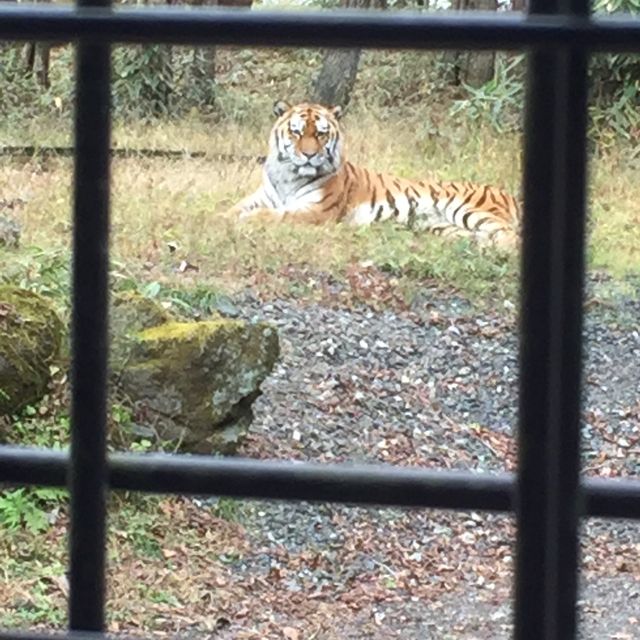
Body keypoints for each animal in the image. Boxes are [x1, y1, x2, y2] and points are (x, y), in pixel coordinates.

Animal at [224, 100, 520, 248]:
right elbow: (232, 209)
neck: (288, 175)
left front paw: (248, 220)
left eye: (320, 134)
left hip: (466, 209)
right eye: (296, 132)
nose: (308, 155)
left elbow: (277, 215)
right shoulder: (263, 196)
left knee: (509, 234)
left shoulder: (316, 211)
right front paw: (220, 219)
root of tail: (509, 194)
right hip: (443, 227)